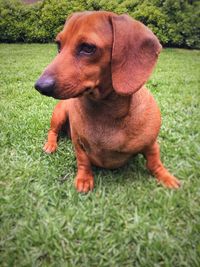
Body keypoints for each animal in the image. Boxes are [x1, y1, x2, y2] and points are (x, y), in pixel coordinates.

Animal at [34, 11, 181, 193]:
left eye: (88, 48)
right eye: (58, 45)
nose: (40, 86)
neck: (106, 111)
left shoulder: (151, 144)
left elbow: (154, 163)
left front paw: (166, 177)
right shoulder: (78, 143)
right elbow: (83, 161)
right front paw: (84, 179)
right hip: (59, 114)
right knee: (53, 132)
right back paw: (50, 145)